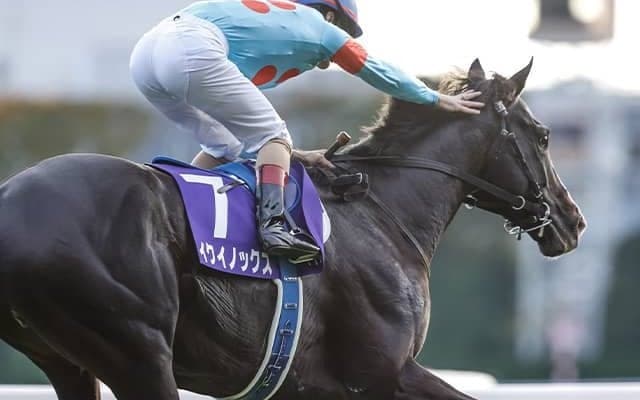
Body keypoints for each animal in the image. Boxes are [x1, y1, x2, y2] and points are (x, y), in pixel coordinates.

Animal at [0, 59, 585, 400]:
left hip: (72, 362)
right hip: (137, 351)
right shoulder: (383, 372)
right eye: (543, 135)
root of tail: (10, 200)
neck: (380, 209)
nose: (573, 220)